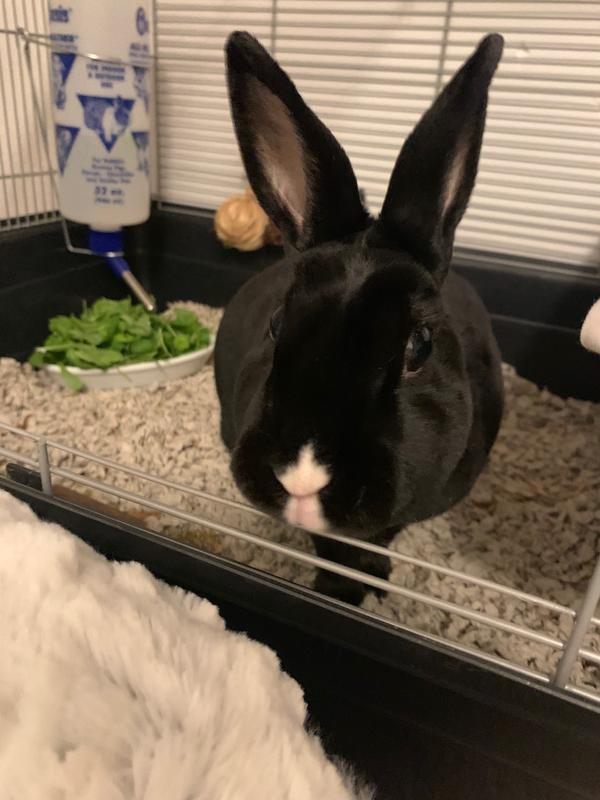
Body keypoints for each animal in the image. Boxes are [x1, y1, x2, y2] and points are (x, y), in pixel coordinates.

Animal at [214, 31, 505, 605]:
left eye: (420, 346)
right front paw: (338, 590)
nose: (302, 479)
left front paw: (371, 581)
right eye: (277, 325)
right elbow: (330, 546)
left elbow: (375, 537)